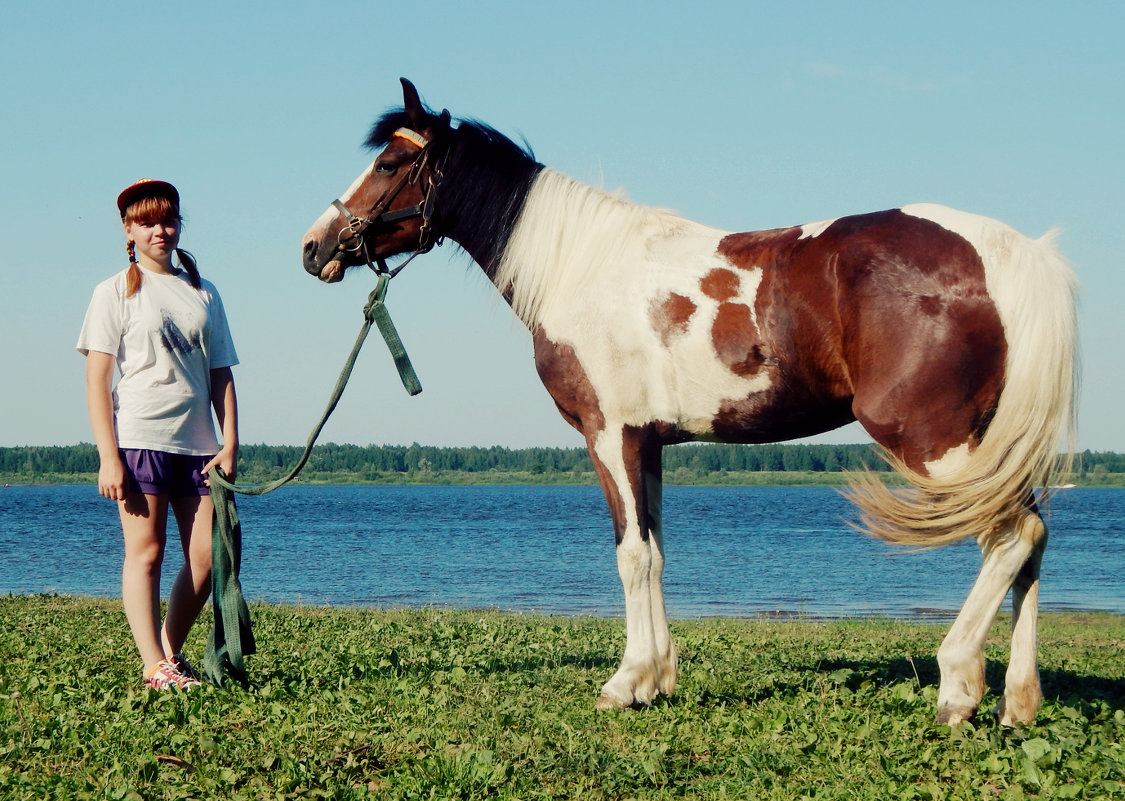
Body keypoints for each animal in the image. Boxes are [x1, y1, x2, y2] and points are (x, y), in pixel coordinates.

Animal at [301, 76, 1080, 724]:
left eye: (390, 164)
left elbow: (630, 555)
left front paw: (625, 683)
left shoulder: (609, 434)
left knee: (1011, 536)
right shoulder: (648, 441)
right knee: (1031, 541)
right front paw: (656, 677)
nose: (314, 247)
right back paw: (1017, 701)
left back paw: (958, 685)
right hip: (984, 445)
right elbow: (654, 551)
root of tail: (1011, 254)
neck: (580, 265)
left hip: (931, 439)